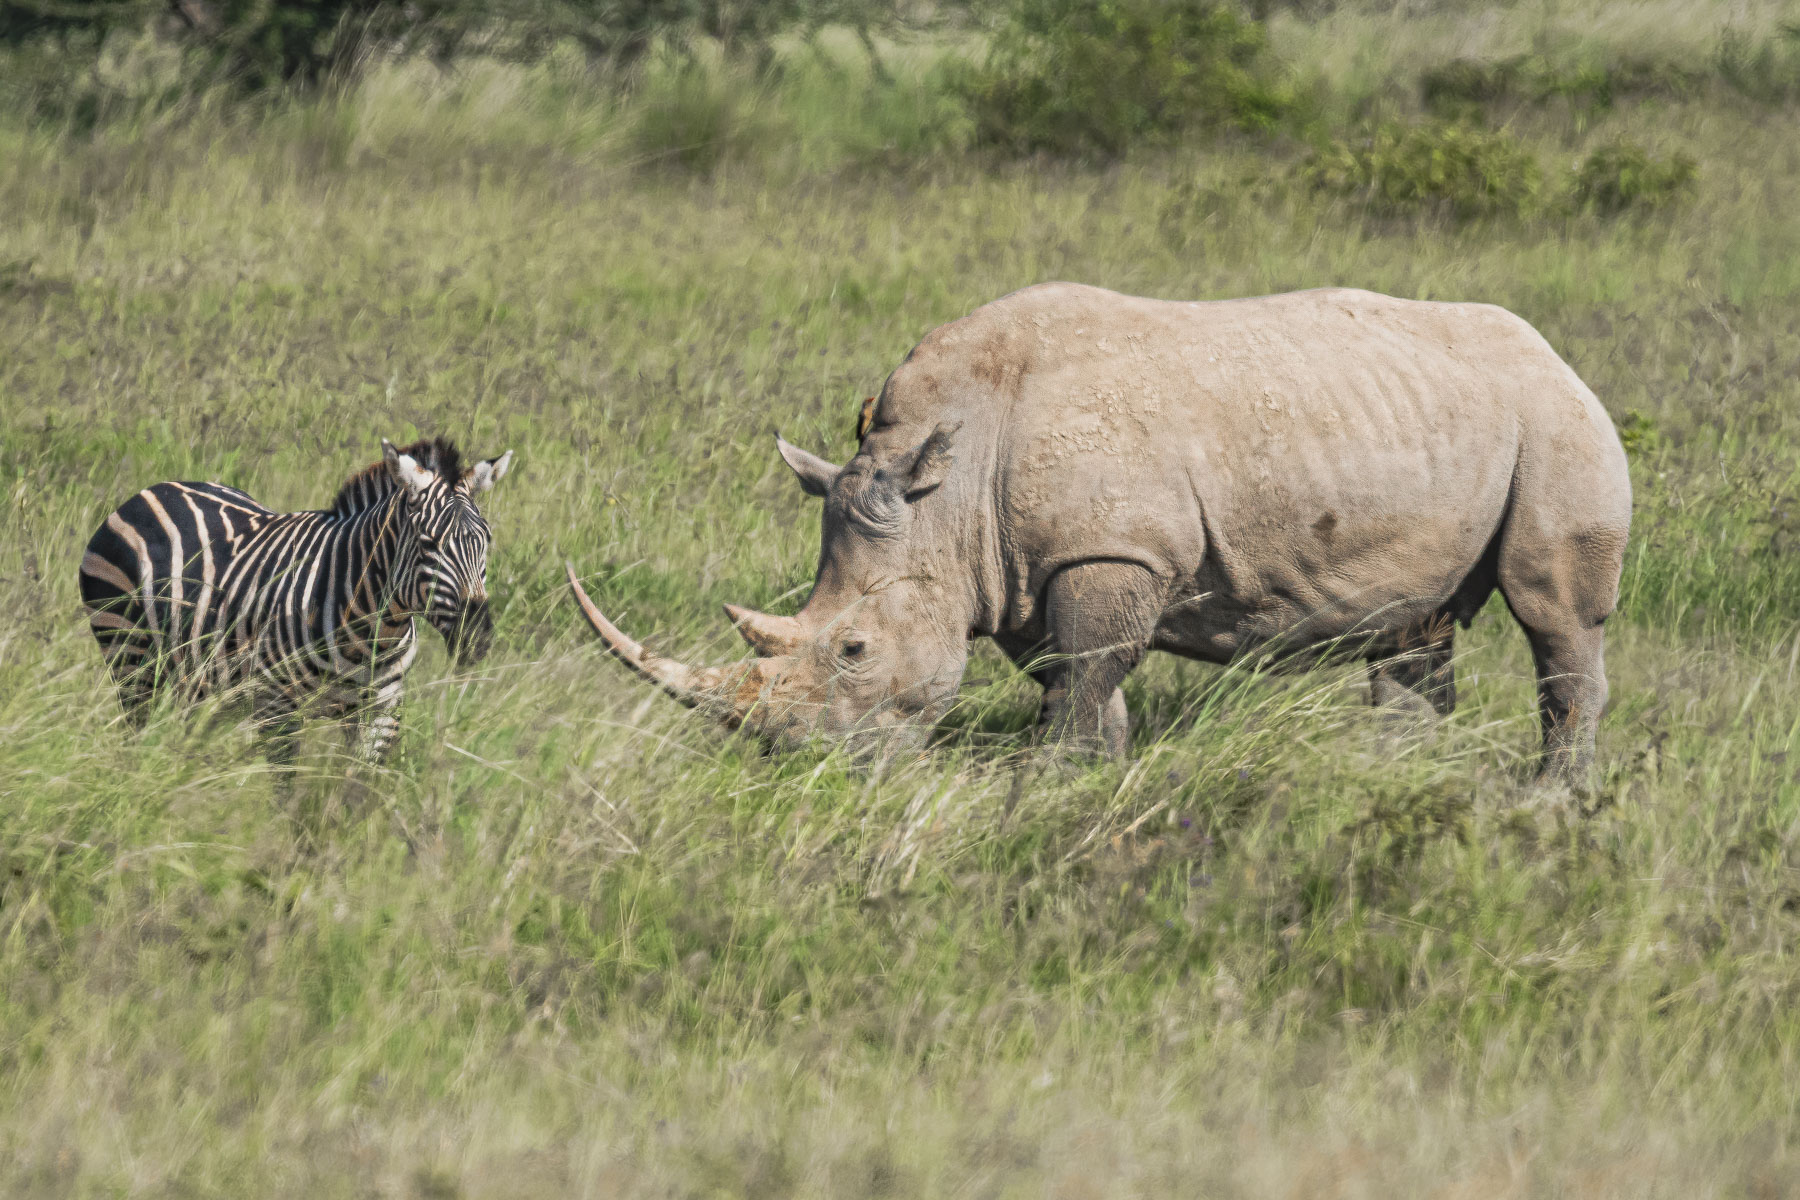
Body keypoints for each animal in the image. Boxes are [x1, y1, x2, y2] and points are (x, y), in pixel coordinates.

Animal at [79, 437, 513, 765]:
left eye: (487, 541)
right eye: (427, 544)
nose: (478, 639)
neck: (373, 630)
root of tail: (151, 490)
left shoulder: (382, 710)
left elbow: (359, 792)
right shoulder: (276, 707)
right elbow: (288, 797)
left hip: (194, 680)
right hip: (131, 661)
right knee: (136, 733)